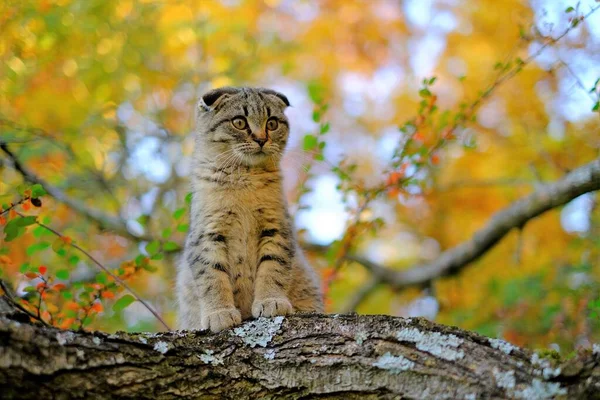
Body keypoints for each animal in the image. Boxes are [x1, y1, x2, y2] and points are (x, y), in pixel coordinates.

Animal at [177, 86, 324, 332]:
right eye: (239, 122)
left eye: (272, 123)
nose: (261, 139)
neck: (245, 178)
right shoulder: (207, 233)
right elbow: (212, 277)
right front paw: (219, 313)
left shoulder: (276, 227)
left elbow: (273, 268)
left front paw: (271, 301)